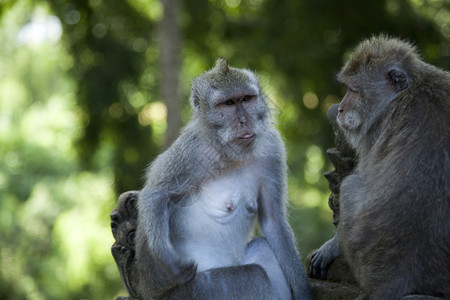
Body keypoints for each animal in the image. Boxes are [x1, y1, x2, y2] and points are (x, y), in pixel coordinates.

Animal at [135, 59, 312, 300]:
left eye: (246, 99)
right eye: (228, 104)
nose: (244, 121)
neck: (229, 153)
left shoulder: (272, 148)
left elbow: (273, 220)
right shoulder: (190, 152)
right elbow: (154, 195)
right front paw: (170, 262)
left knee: (263, 247)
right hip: (197, 291)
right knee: (253, 275)